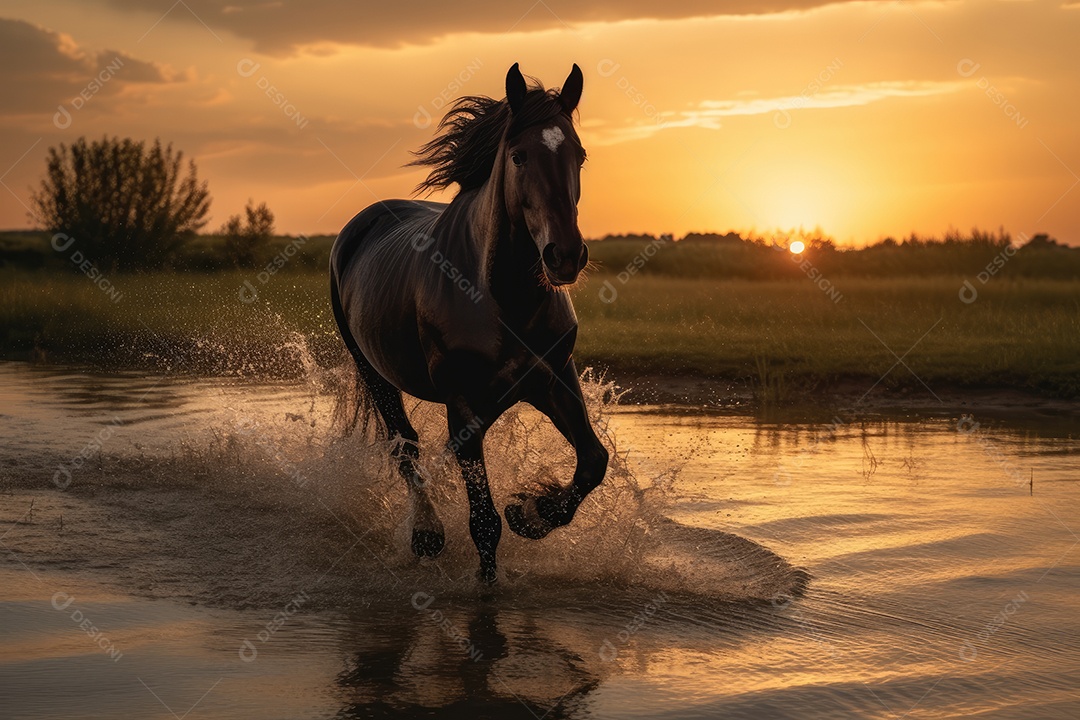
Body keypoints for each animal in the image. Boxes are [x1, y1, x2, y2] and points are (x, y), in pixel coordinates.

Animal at [329, 63, 608, 584]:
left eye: (578, 156)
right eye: (519, 156)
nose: (564, 256)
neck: (503, 299)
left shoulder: (553, 380)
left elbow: (592, 463)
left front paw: (530, 513)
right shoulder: (462, 404)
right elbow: (483, 522)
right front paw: (487, 583)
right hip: (374, 372)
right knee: (405, 447)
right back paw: (427, 534)